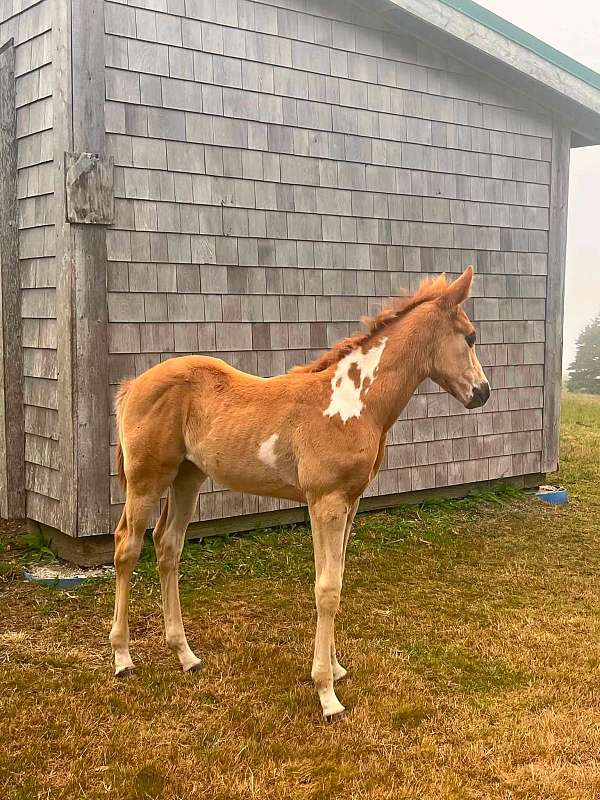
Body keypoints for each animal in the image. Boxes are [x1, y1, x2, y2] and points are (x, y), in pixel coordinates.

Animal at [109, 265, 489, 721]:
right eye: (470, 337)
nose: (483, 392)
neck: (353, 402)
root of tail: (133, 384)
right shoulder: (326, 501)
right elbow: (326, 590)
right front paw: (327, 695)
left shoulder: (350, 503)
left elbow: (337, 579)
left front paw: (337, 668)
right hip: (146, 479)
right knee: (127, 547)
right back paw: (122, 659)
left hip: (188, 477)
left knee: (167, 546)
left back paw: (185, 655)